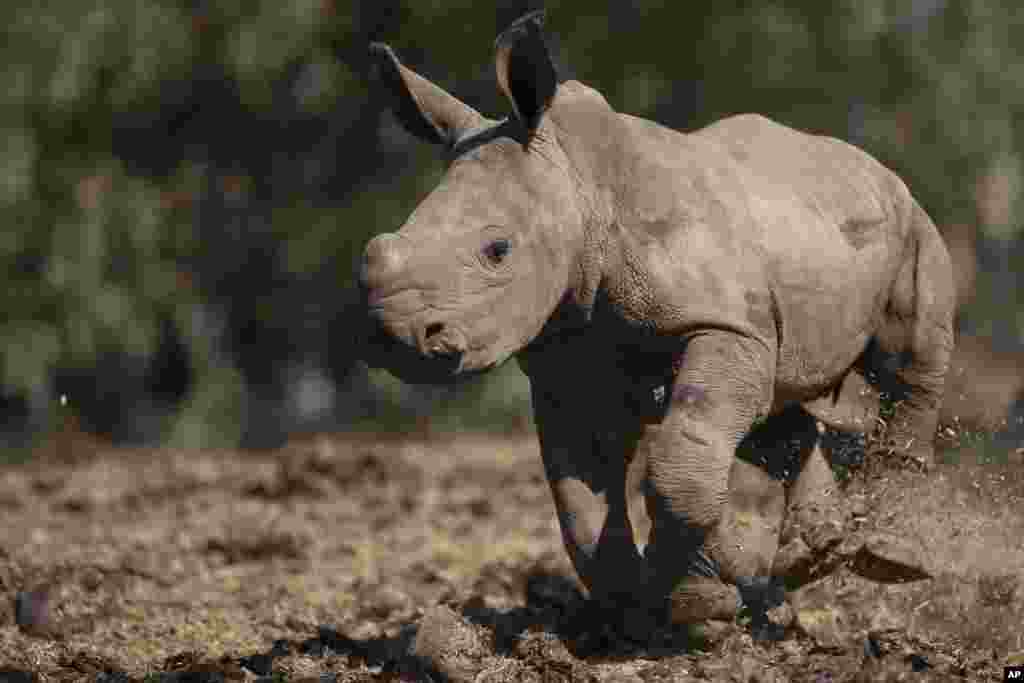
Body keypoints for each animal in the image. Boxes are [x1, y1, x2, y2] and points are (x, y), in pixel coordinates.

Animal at [358, 12, 950, 643]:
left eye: (498, 250)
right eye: (374, 252)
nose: (399, 338)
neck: (578, 187)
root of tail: (871, 164)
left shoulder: (719, 323)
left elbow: (676, 471)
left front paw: (695, 605)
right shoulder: (569, 363)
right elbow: (581, 499)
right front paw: (646, 615)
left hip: (908, 219)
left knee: (907, 362)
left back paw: (890, 556)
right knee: (769, 417)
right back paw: (812, 555)